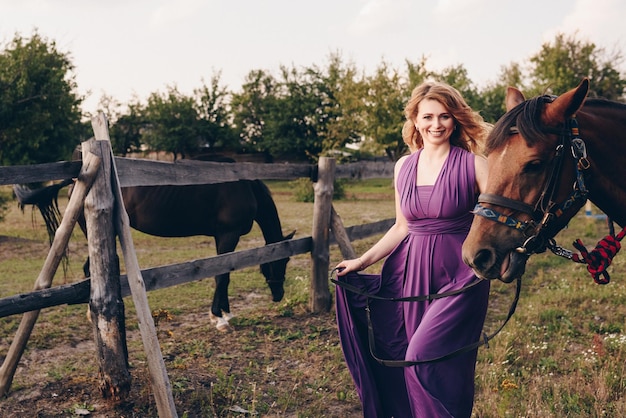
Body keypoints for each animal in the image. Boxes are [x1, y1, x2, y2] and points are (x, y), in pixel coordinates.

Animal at [16, 176, 294, 330]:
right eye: (281, 260)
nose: (278, 294)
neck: (245, 188)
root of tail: (76, 182)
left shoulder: (223, 237)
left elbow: (224, 273)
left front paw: (225, 313)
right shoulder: (228, 235)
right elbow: (221, 275)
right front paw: (219, 318)